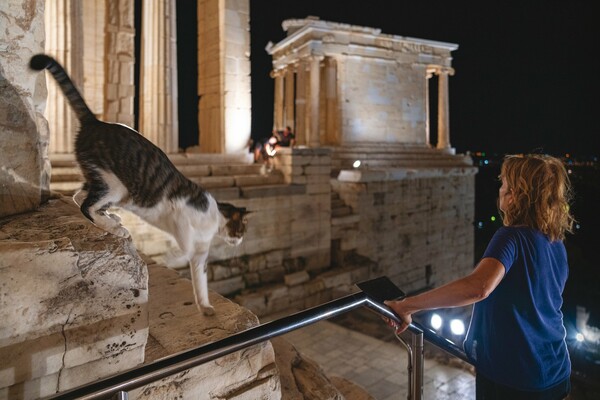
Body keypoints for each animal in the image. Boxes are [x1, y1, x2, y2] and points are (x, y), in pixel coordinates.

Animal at [29, 53, 250, 316]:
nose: (240, 241)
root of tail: (96, 122)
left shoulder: (201, 256)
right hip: (116, 184)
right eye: (242, 228)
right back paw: (115, 228)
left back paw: (111, 221)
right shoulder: (181, 213)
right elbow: (185, 242)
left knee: (79, 197)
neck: (215, 218)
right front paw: (175, 255)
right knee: (86, 205)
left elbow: (200, 281)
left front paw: (205, 307)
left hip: (104, 180)